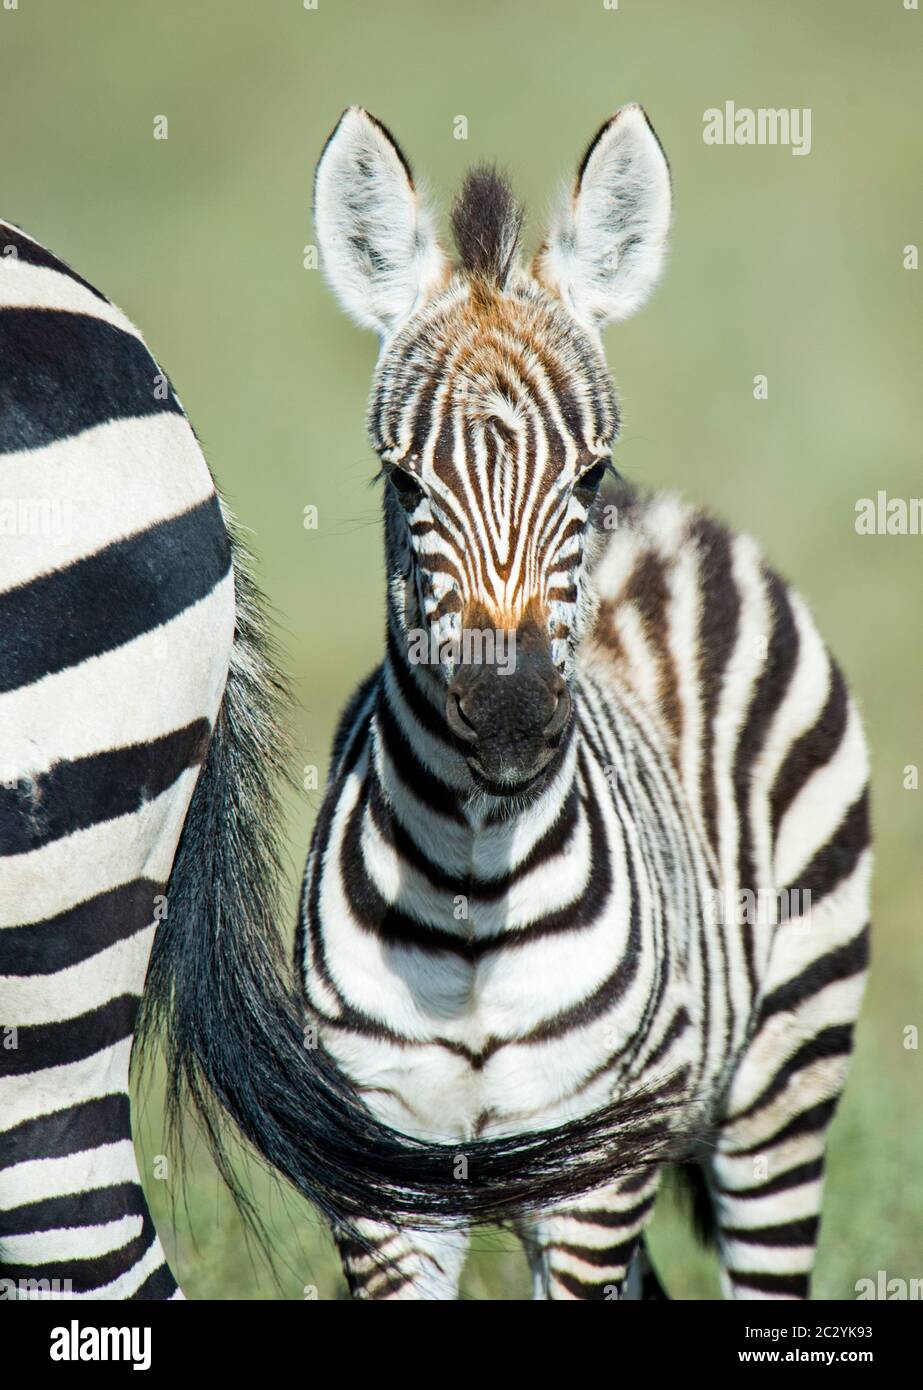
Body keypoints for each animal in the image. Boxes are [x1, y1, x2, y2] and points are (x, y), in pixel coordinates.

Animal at [300, 104, 872, 1300]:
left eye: (587, 475)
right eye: (402, 482)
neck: (473, 893)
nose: (513, 715)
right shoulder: (379, 1194)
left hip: (782, 1076)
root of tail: (672, 519)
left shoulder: (591, 1188)